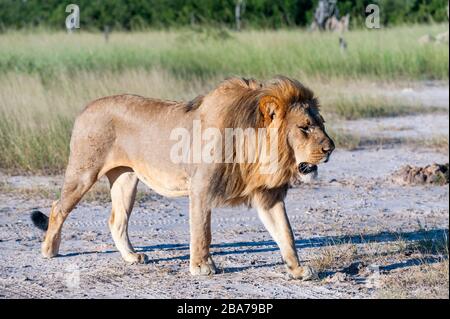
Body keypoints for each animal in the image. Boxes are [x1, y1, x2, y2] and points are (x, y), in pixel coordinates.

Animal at [31, 76, 334, 282]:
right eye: (305, 128)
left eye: (322, 124)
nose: (330, 148)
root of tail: (86, 108)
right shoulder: (201, 188)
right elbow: (202, 231)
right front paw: (202, 267)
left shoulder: (268, 196)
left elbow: (286, 233)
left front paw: (298, 270)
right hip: (84, 172)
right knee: (58, 208)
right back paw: (49, 249)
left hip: (126, 179)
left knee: (116, 220)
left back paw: (131, 257)